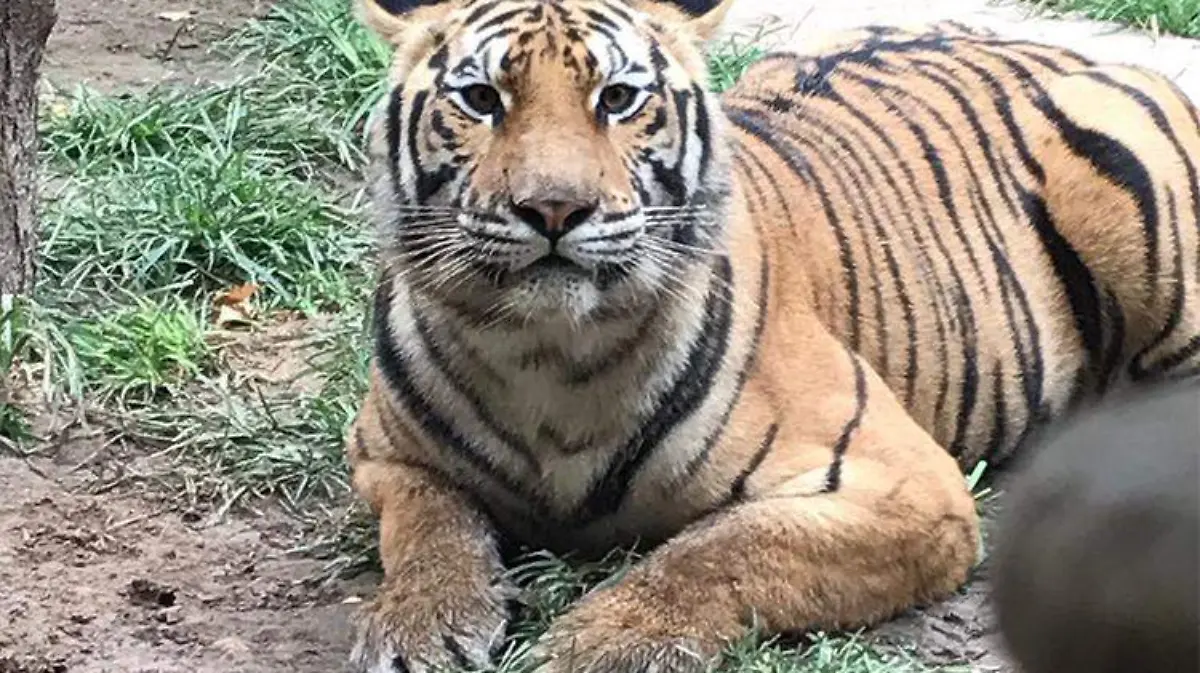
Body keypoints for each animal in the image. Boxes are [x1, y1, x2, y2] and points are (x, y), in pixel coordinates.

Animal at [343, 0, 1200, 671]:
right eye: (480, 98)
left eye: (618, 98)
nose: (553, 207)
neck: (546, 351)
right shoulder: (386, 451)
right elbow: (428, 528)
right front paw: (418, 625)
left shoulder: (911, 487)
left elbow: (723, 549)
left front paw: (598, 643)